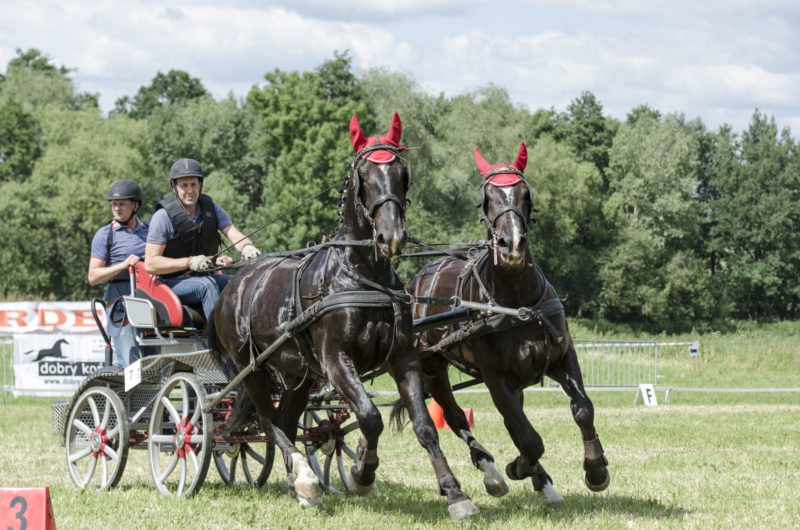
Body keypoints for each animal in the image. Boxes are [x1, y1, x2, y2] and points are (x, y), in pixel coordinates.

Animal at [209, 112, 478, 520]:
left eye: (403, 172)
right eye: (363, 175)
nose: (390, 236)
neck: (358, 273)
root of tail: (232, 285)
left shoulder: (403, 357)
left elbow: (424, 425)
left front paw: (454, 493)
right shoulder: (336, 361)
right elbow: (369, 417)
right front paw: (362, 472)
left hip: (299, 374)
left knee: (286, 418)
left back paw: (298, 485)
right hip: (250, 367)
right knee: (269, 422)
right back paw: (304, 476)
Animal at [404, 140, 608, 504]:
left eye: (526, 193)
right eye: (487, 197)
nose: (511, 243)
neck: (517, 304)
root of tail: (418, 280)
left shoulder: (562, 357)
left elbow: (582, 409)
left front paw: (595, 470)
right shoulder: (496, 379)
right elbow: (529, 439)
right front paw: (517, 467)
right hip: (432, 366)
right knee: (456, 417)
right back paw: (492, 472)